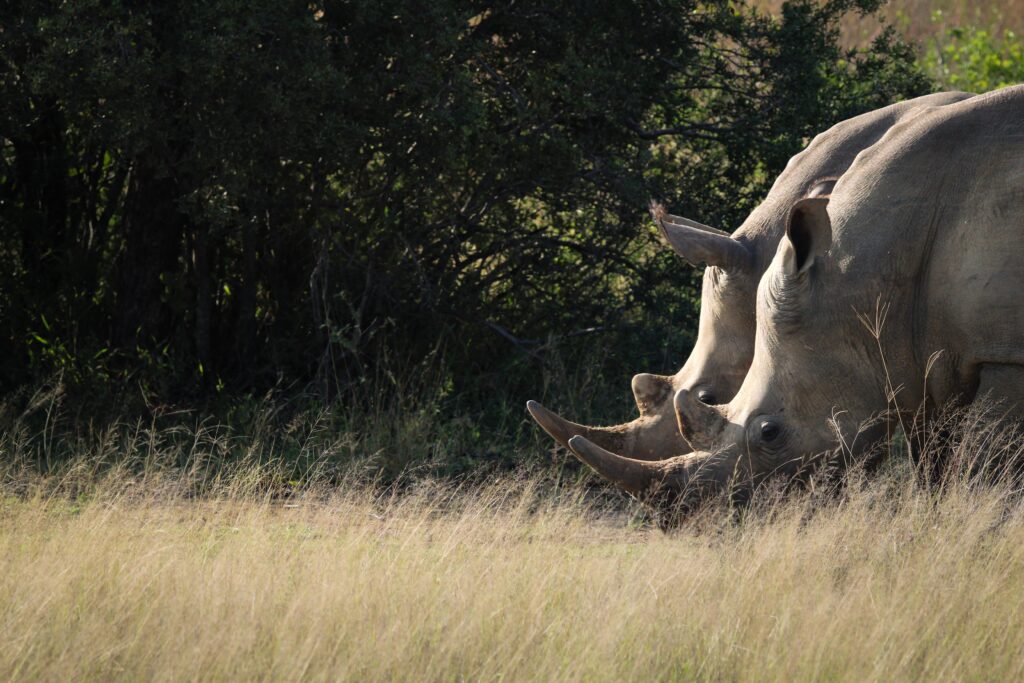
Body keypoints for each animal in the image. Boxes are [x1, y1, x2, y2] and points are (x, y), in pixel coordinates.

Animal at [568, 85, 1024, 505]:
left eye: (770, 432)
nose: (693, 520)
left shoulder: (999, 354)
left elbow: (991, 463)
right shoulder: (919, 355)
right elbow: (934, 459)